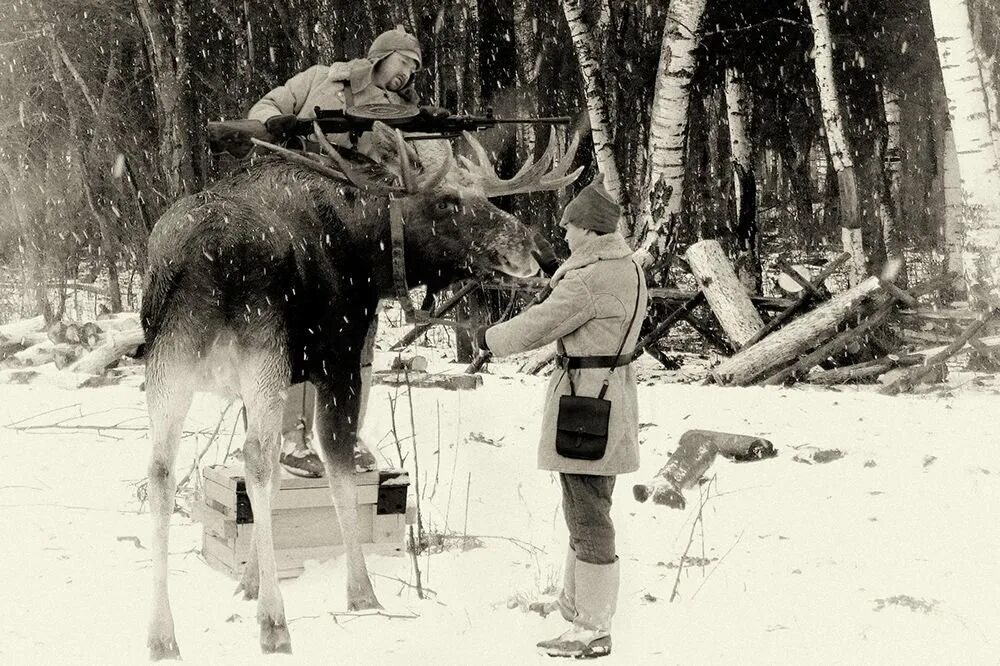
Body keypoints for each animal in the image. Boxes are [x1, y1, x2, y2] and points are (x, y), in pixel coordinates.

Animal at [141, 122, 580, 656]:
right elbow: (338, 467)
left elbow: (274, 480)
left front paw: (248, 582)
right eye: (447, 201)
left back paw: (162, 634)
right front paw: (360, 591)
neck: (366, 251)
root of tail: (204, 259)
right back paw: (274, 623)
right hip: (260, 350)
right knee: (257, 458)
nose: (539, 251)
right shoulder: (340, 357)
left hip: (169, 360)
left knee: (162, 469)